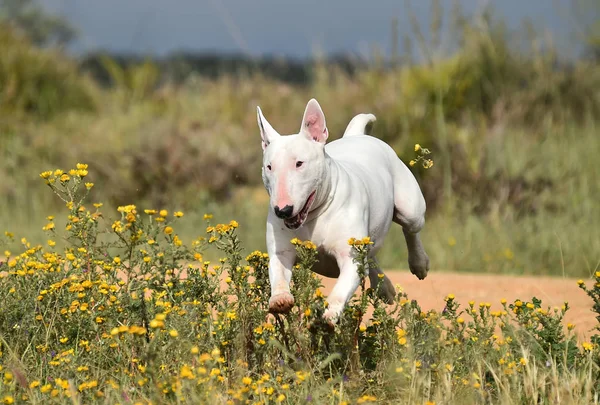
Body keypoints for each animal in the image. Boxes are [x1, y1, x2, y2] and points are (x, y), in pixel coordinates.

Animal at [255, 99, 428, 324]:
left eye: (299, 163)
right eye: (269, 167)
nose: (283, 210)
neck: (314, 215)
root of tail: (356, 136)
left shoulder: (349, 257)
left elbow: (342, 287)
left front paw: (329, 314)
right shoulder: (281, 251)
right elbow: (278, 273)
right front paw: (280, 300)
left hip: (410, 207)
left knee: (410, 229)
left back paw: (419, 263)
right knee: (371, 254)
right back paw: (385, 289)